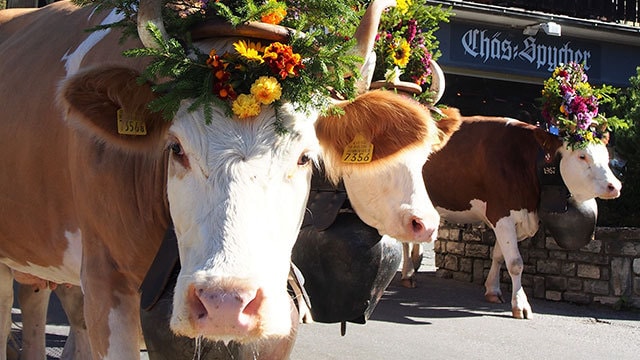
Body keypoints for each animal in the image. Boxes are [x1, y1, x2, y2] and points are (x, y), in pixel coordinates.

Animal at [400, 108, 620, 320]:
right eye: (582, 156)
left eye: (607, 157)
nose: (615, 186)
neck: (526, 162)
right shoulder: (501, 213)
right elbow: (515, 263)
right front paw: (520, 305)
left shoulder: (518, 219)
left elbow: (499, 255)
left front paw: (493, 290)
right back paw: (408, 274)